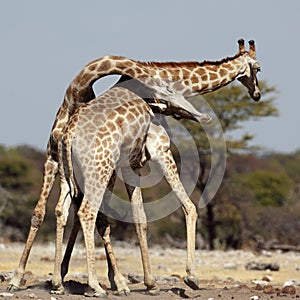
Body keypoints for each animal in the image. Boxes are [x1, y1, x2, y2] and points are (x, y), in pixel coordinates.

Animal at [7, 38, 260, 292]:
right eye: (258, 68)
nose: (257, 93)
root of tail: (67, 134)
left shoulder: (132, 164)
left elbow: (140, 217)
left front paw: (150, 282)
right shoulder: (160, 150)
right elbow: (189, 207)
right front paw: (191, 276)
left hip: (67, 169)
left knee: (58, 210)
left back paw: (52, 279)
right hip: (97, 169)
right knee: (87, 213)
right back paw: (96, 284)